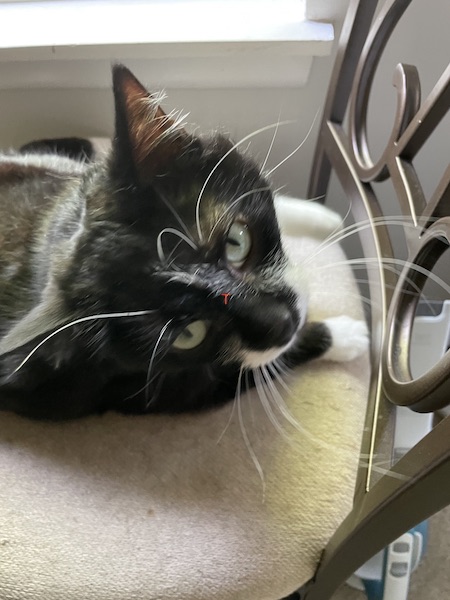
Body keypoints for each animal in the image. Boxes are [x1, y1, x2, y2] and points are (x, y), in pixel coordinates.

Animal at [0, 65, 366, 420]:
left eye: (236, 242)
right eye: (189, 335)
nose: (283, 324)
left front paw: (323, 217)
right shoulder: (151, 388)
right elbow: (259, 365)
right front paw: (346, 336)